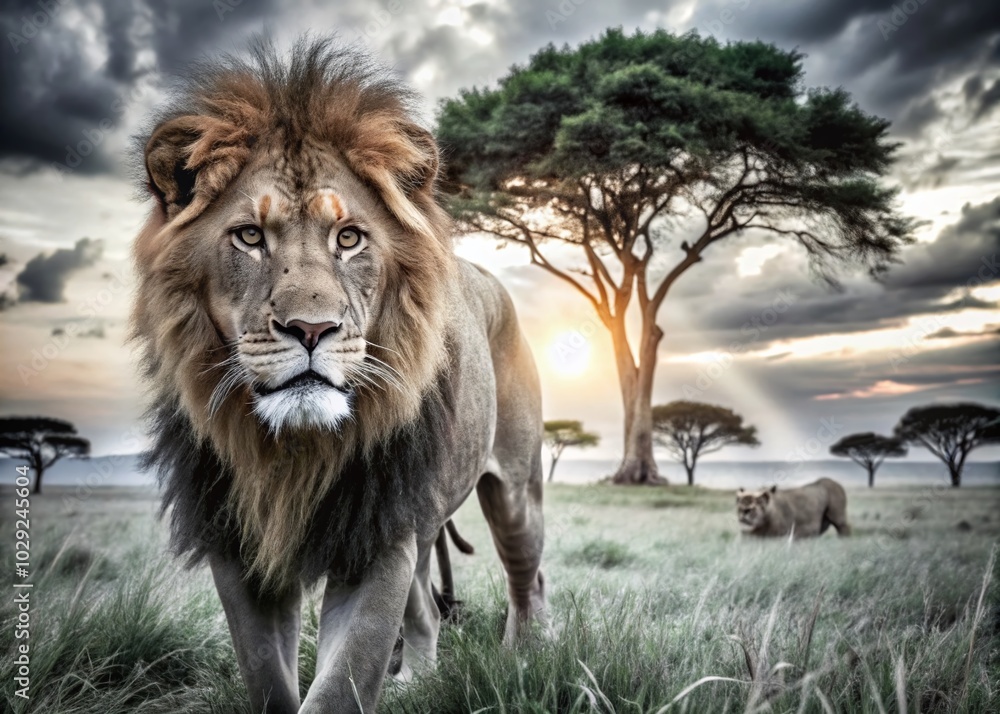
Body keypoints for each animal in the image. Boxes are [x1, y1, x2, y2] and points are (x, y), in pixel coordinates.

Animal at [131, 39, 545, 713]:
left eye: (349, 238)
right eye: (250, 236)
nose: (311, 329)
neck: (295, 451)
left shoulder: (376, 540)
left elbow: (343, 682)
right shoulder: (240, 546)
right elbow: (268, 681)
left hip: (514, 488)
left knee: (528, 577)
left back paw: (524, 659)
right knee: (428, 609)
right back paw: (417, 680)